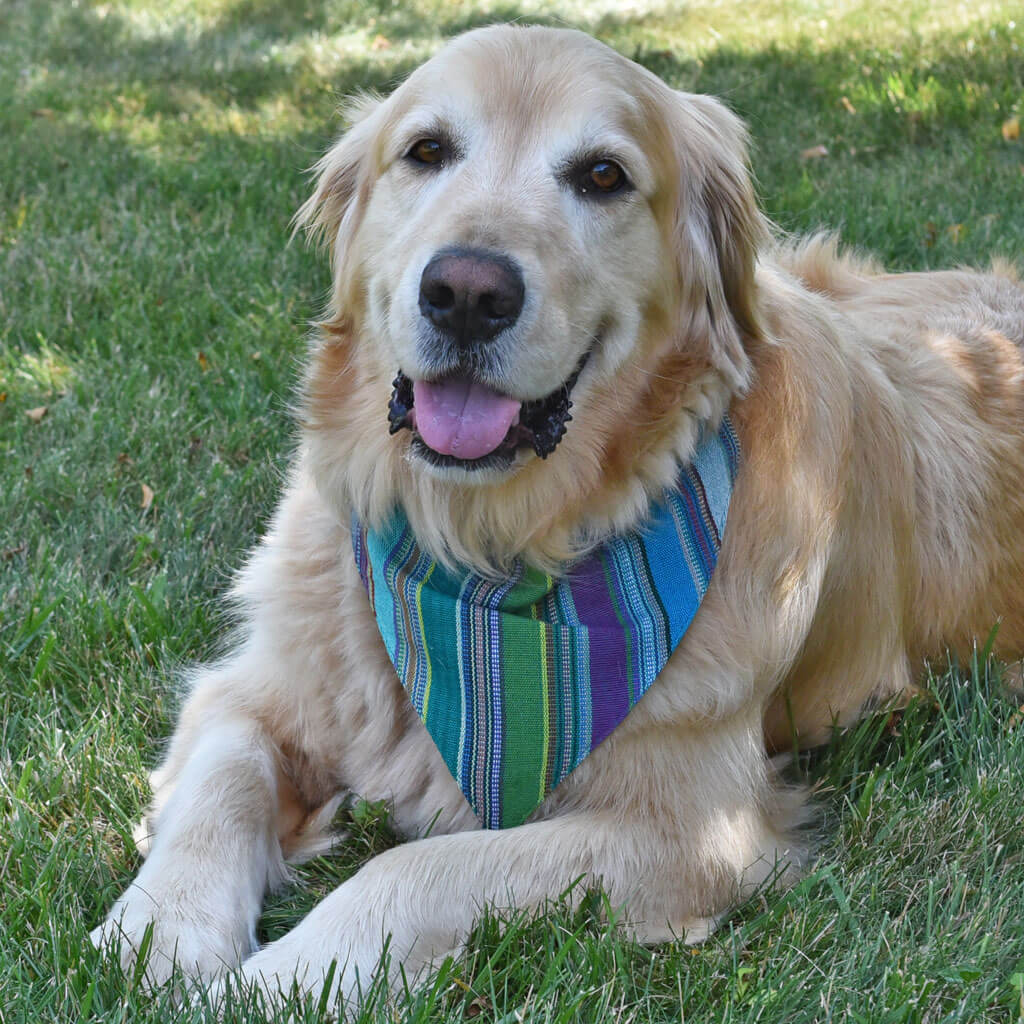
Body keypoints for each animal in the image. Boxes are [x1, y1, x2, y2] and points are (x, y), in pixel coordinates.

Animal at [92, 22, 1024, 1007]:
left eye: (603, 175)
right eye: (426, 151)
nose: (466, 292)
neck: (483, 555)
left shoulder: (691, 830)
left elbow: (419, 867)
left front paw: (274, 982)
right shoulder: (262, 685)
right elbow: (221, 782)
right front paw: (159, 934)